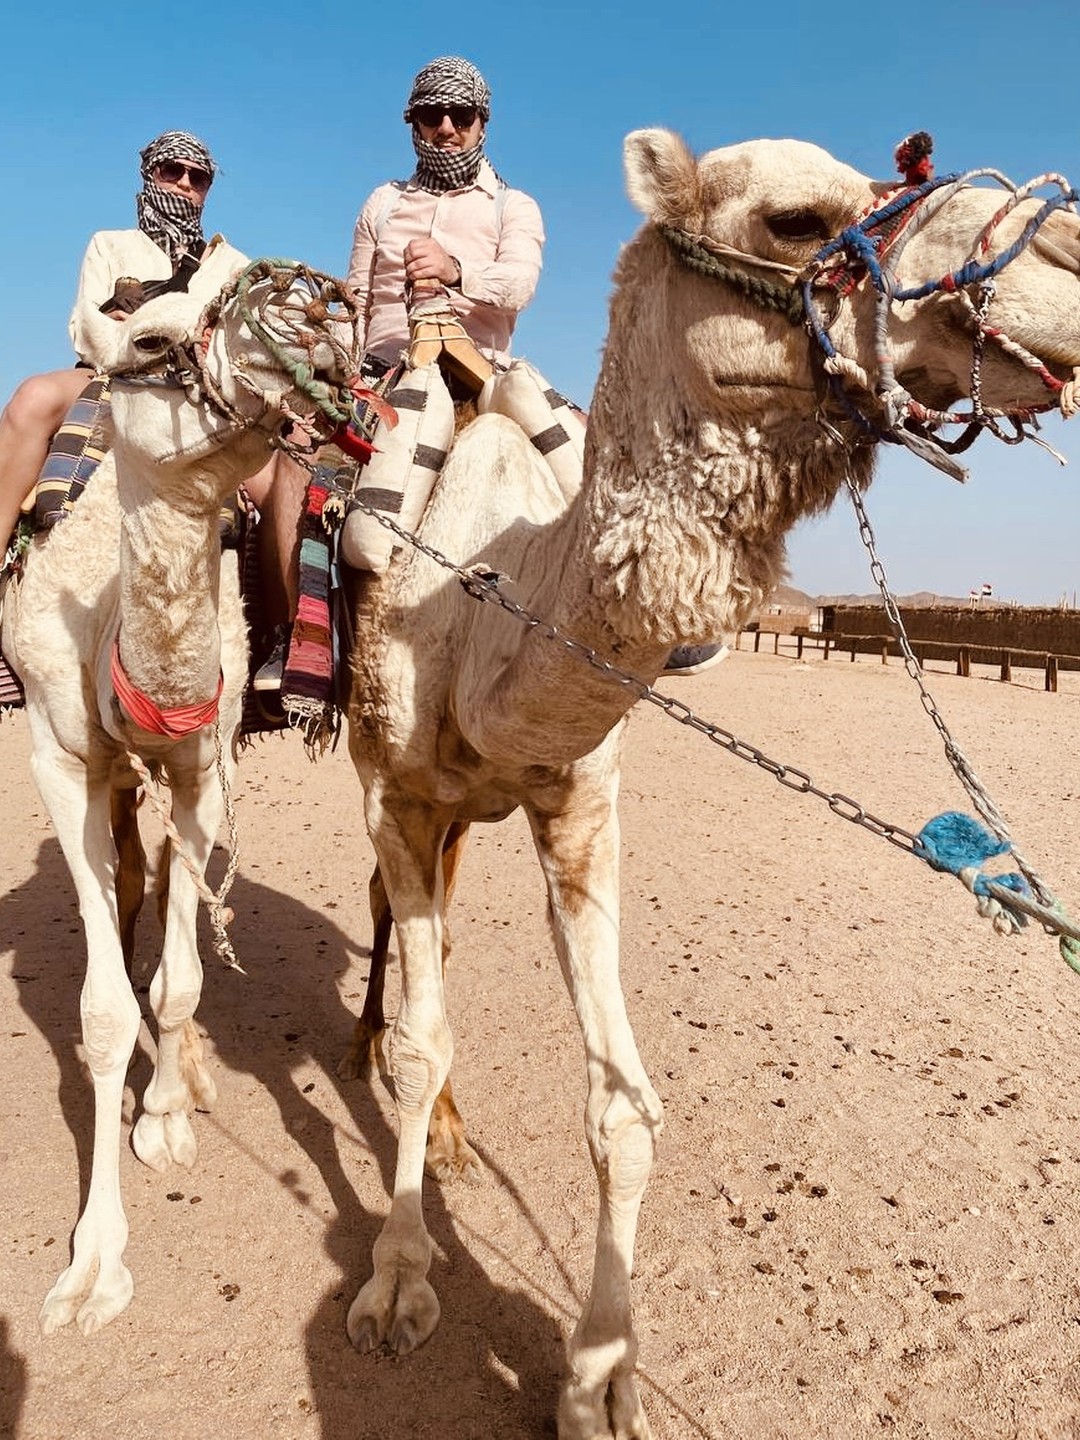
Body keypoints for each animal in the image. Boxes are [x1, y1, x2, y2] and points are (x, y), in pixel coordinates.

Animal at [1, 261, 358, 1337]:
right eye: (152, 343)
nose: (314, 329)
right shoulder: (58, 760)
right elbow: (102, 1011)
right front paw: (92, 1267)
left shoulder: (204, 765)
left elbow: (181, 979)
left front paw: (161, 1114)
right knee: (121, 873)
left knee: (152, 874)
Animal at [341, 131, 1080, 1438]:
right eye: (793, 218)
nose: (1070, 252)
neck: (486, 606)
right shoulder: (399, 795)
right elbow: (423, 1041)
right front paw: (396, 1282)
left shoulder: (577, 806)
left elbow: (622, 1106)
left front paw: (604, 1379)